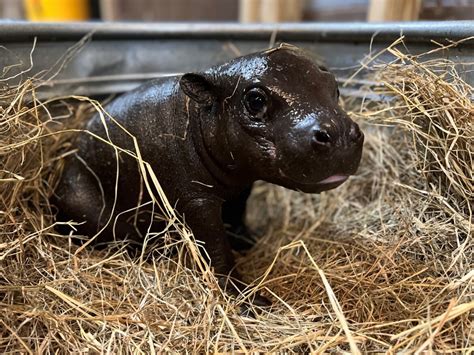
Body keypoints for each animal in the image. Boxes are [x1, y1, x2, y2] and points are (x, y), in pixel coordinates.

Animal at [54, 44, 362, 306]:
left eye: (334, 87)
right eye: (255, 100)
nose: (339, 133)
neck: (200, 118)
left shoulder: (241, 187)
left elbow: (237, 217)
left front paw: (250, 243)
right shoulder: (197, 201)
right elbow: (216, 249)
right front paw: (252, 303)